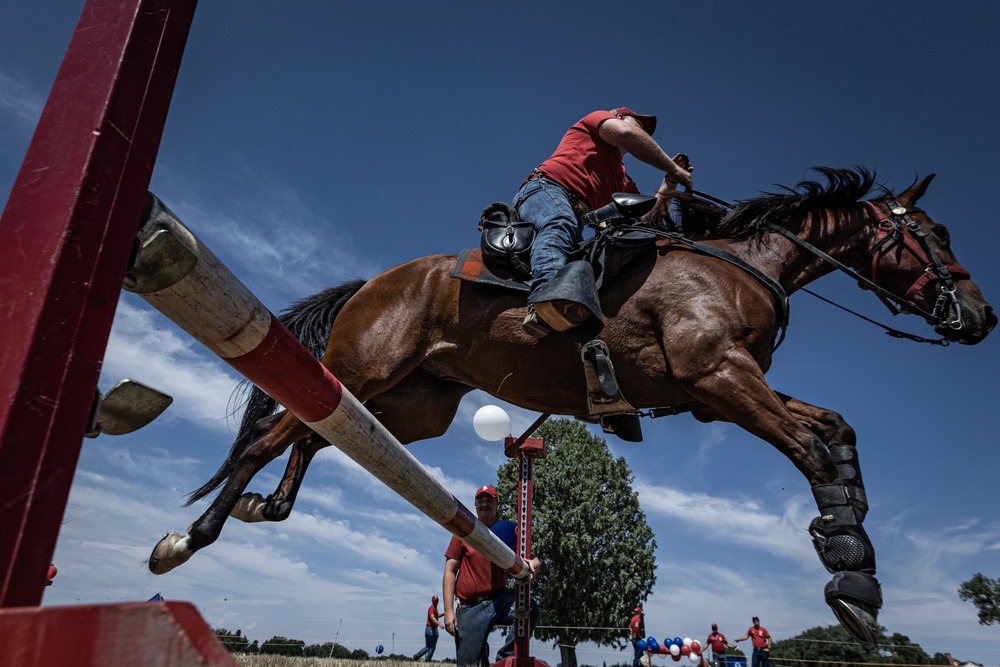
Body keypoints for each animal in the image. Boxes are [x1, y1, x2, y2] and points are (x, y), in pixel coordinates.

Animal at [146, 166, 992, 648]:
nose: (981, 317)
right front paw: (853, 580)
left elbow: (834, 428)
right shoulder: (720, 376)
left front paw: (852, 531)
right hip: (367, 362)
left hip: (414, 402)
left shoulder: (720, 392)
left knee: (319, 432)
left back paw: (268, 505)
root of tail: (372, 281)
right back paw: (190, 535)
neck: (740, 265)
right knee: (273, 434)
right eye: (936, 231)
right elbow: (809, 447)